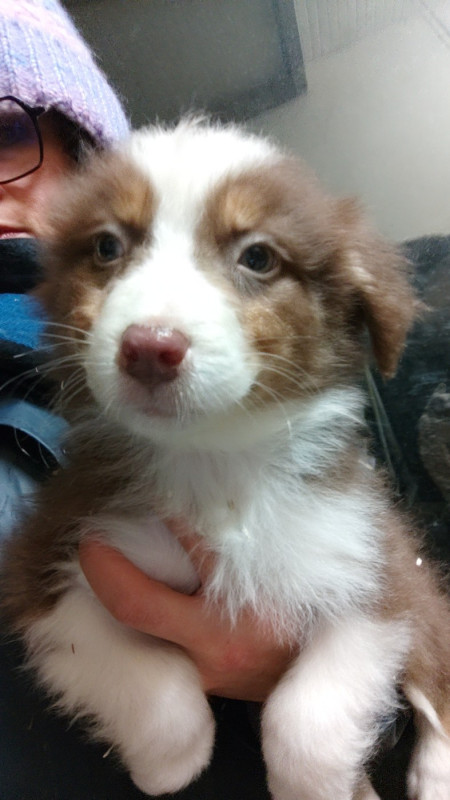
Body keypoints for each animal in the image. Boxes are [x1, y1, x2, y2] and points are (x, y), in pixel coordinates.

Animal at [2, 120, 450, 800]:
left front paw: (316, 786)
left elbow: (309, 714)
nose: (149, 348)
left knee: (434, 689)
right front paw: (167, 764)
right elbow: (149, 684)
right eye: (107, 247)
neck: (213, 460)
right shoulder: (53, 564)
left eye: (258, 257)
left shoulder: (375, 565)